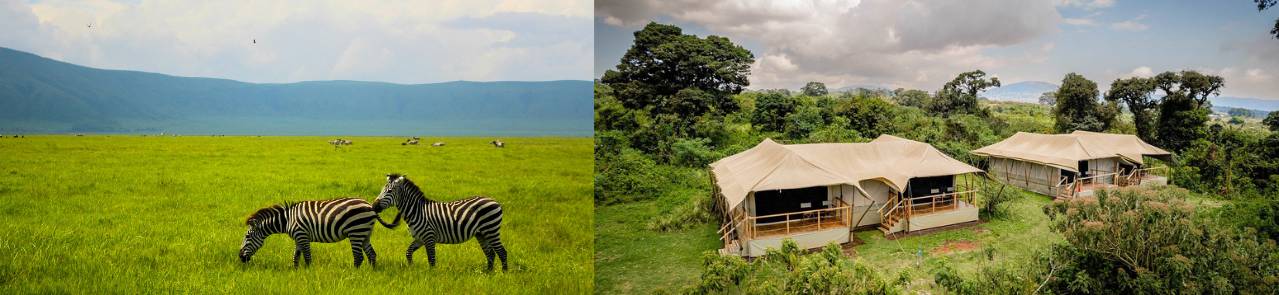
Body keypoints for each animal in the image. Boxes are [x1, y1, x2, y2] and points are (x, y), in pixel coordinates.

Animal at [240, 197, 396, 266]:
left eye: (247, 236)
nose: (240, 257)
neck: (287, 220)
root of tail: (370, 206)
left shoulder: (302, 235)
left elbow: (307, 258)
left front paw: (308, 273)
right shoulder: (298, 237)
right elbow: (296, 257)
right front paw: (295, 272)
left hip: (356, 232)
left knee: (359, 257)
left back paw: (355, 274)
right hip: (365, 233)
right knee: (372, 255)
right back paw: (371, 272)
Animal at [373, 173, 506, 270]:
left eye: (389, 191)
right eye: (381, 190)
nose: (374, 206)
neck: (417, 211)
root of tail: (494, 200)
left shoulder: (429, 237)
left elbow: (431, 259)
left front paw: (432, 276)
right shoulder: (419, 238)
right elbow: (408, 252)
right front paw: (411, 268)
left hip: (491, 230)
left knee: (502, 252)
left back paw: (503, 274)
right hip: (481, 234)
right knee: (490, 253)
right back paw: (488, 273)